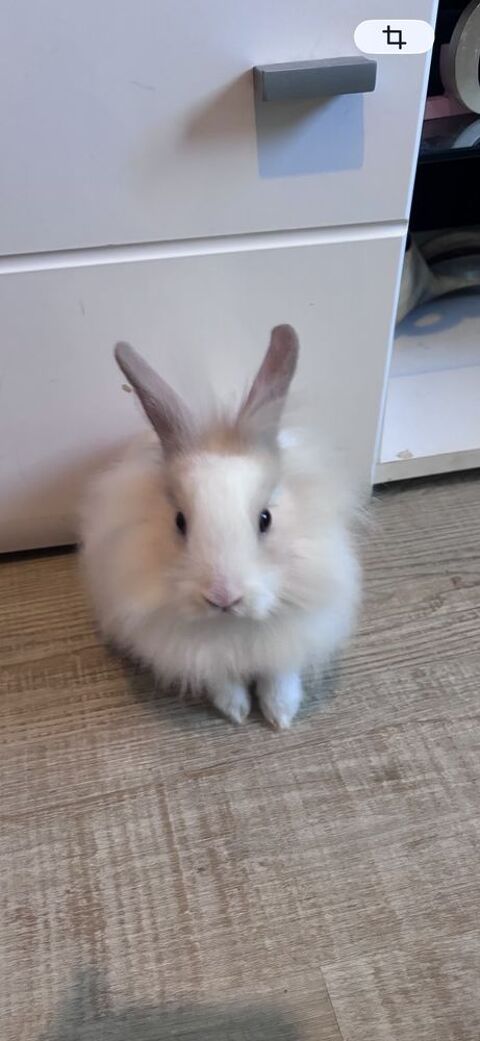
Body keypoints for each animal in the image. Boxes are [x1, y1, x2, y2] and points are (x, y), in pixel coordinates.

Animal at [81, 325, 360, 728]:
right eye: (180, 521)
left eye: (265, 519)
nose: (223, 598)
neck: (231, 627)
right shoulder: (200, 655)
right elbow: (222, 680)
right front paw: (237, 712)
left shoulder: (293, 637)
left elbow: (280, 677)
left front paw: (280, 717)